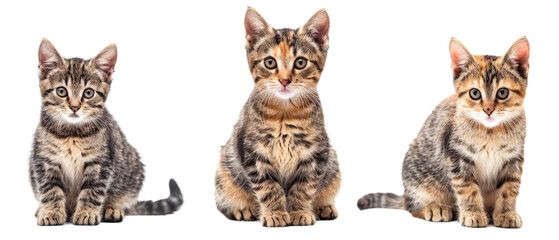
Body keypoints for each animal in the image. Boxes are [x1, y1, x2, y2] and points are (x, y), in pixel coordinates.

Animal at [29, 39, 184, 225]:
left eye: (88, 93)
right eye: (61, 91)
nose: (74, 107)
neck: (72, 133)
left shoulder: (101, 162)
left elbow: (93, 189)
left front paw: (87, 212)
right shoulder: (44, 160)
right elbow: (50, 188)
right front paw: (51, 211)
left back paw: (112, 209)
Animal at [214, 7, 342, 227]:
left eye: (300, 62)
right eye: (270, 62)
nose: (284, 80)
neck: (284, 113)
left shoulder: (316, 154)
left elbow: (304, 186)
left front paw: (300, 211)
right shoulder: (254, 155)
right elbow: (268, 187)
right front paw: (275, 213)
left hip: (333, 165)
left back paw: (323, 207)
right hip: (224, 170)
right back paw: (244, 209)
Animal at [358, 37, 528, 229]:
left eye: (503, 92)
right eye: (475, 93)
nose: (488, 110)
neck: (490, 132)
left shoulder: (514, 159)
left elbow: (510, 188)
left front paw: (506, 213)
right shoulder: (456, 156)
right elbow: (467, 187)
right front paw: (473, 213)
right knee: (412, 208)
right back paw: (436, 207)